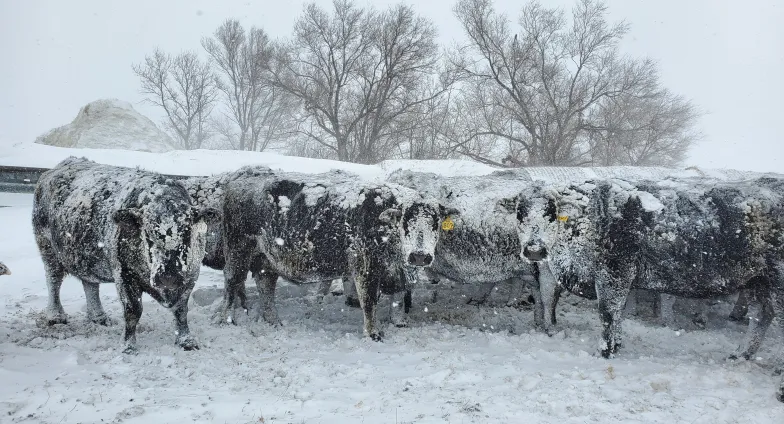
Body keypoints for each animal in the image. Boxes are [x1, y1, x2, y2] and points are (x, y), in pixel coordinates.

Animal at [33, 157, 217, 352]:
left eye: (187, 233)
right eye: (148, 235)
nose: (168, 277)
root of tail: (63, 164)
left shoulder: (190, 276)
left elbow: (181, 310)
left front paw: (186, 340)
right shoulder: (124, 274)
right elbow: (133, 310)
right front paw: (128, 345)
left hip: (86, 259)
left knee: (90, 284)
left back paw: (98, 317)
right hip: (48, 250)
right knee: (53, 281)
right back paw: (56, 316)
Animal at [217, 167, 456, 340]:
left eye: (435, 223)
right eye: (405, 221)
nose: (419, 255)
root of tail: (243, 177)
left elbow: (398, 298)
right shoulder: (365, 267)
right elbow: (369, 301)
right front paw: (373, 333)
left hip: (266, 259)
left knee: (265, 285)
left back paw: (274, 322)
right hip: (238, 251)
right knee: (232, 282)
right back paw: (227, 320)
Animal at [516, 177, 784, 402]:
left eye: (550, 212)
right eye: (520, 213)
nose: (534, 250)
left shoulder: (614, 271)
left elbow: (608, 313)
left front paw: (604, 352)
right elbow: (618, 314)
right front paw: (616, 345)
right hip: (758, 282)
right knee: (760, 316)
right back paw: (740, 355)